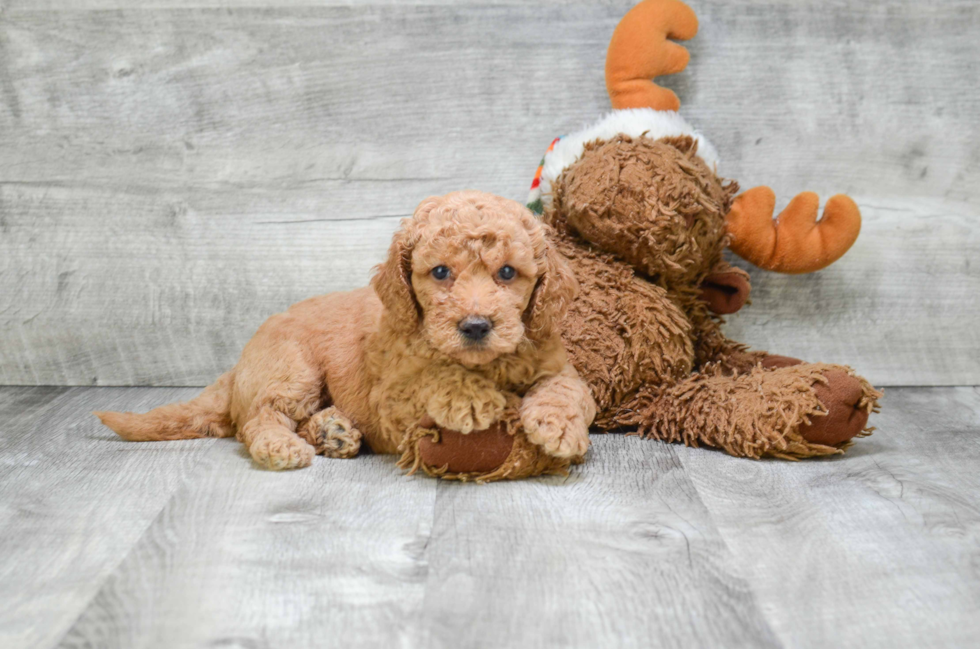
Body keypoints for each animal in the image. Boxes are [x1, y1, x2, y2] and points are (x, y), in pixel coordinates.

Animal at [95, 191, 592, 470]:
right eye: (440, 272)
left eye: (507, 272)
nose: (475, 326)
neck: (484, 363)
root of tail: (238, 366)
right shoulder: (393, 399)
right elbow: (432, 378)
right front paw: (472, 398)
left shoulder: (556, 363)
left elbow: (567, 390)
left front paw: (559, 426)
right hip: (293, 371)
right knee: (258, 418)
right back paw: (284, 446)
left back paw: (332, 432)